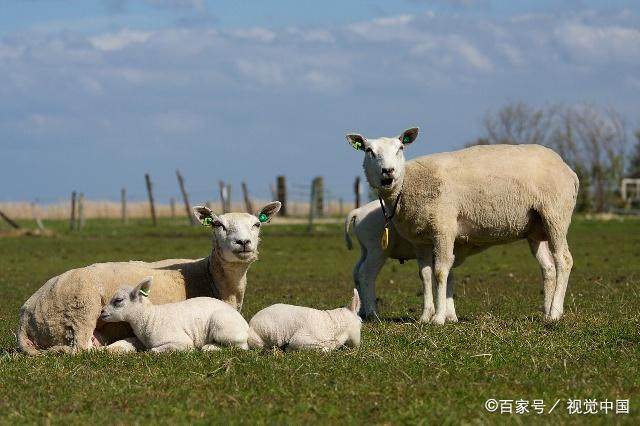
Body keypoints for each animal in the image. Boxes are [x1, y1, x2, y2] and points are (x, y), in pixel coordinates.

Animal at [101, 276, 249, 352]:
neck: (149, 318)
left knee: (240, 347)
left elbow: (153, 350)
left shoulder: (182, 341)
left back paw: (210, 347)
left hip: (223, 327)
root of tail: (246, 326)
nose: (102, 313)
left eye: (118, 300)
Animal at [348, 128, 576, 324]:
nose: (388, 171)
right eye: (369, 151)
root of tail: (567, 168)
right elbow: (425, 275)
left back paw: (555, 313)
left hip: (555, 214)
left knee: (564, 260)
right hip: (537, 229)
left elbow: (441, 272)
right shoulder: (421, 240)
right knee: (548, 268)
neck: (407, 186)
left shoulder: (443, 228)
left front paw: (439, 318)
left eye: (400, 148)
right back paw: (546, 312)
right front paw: (425, 316)